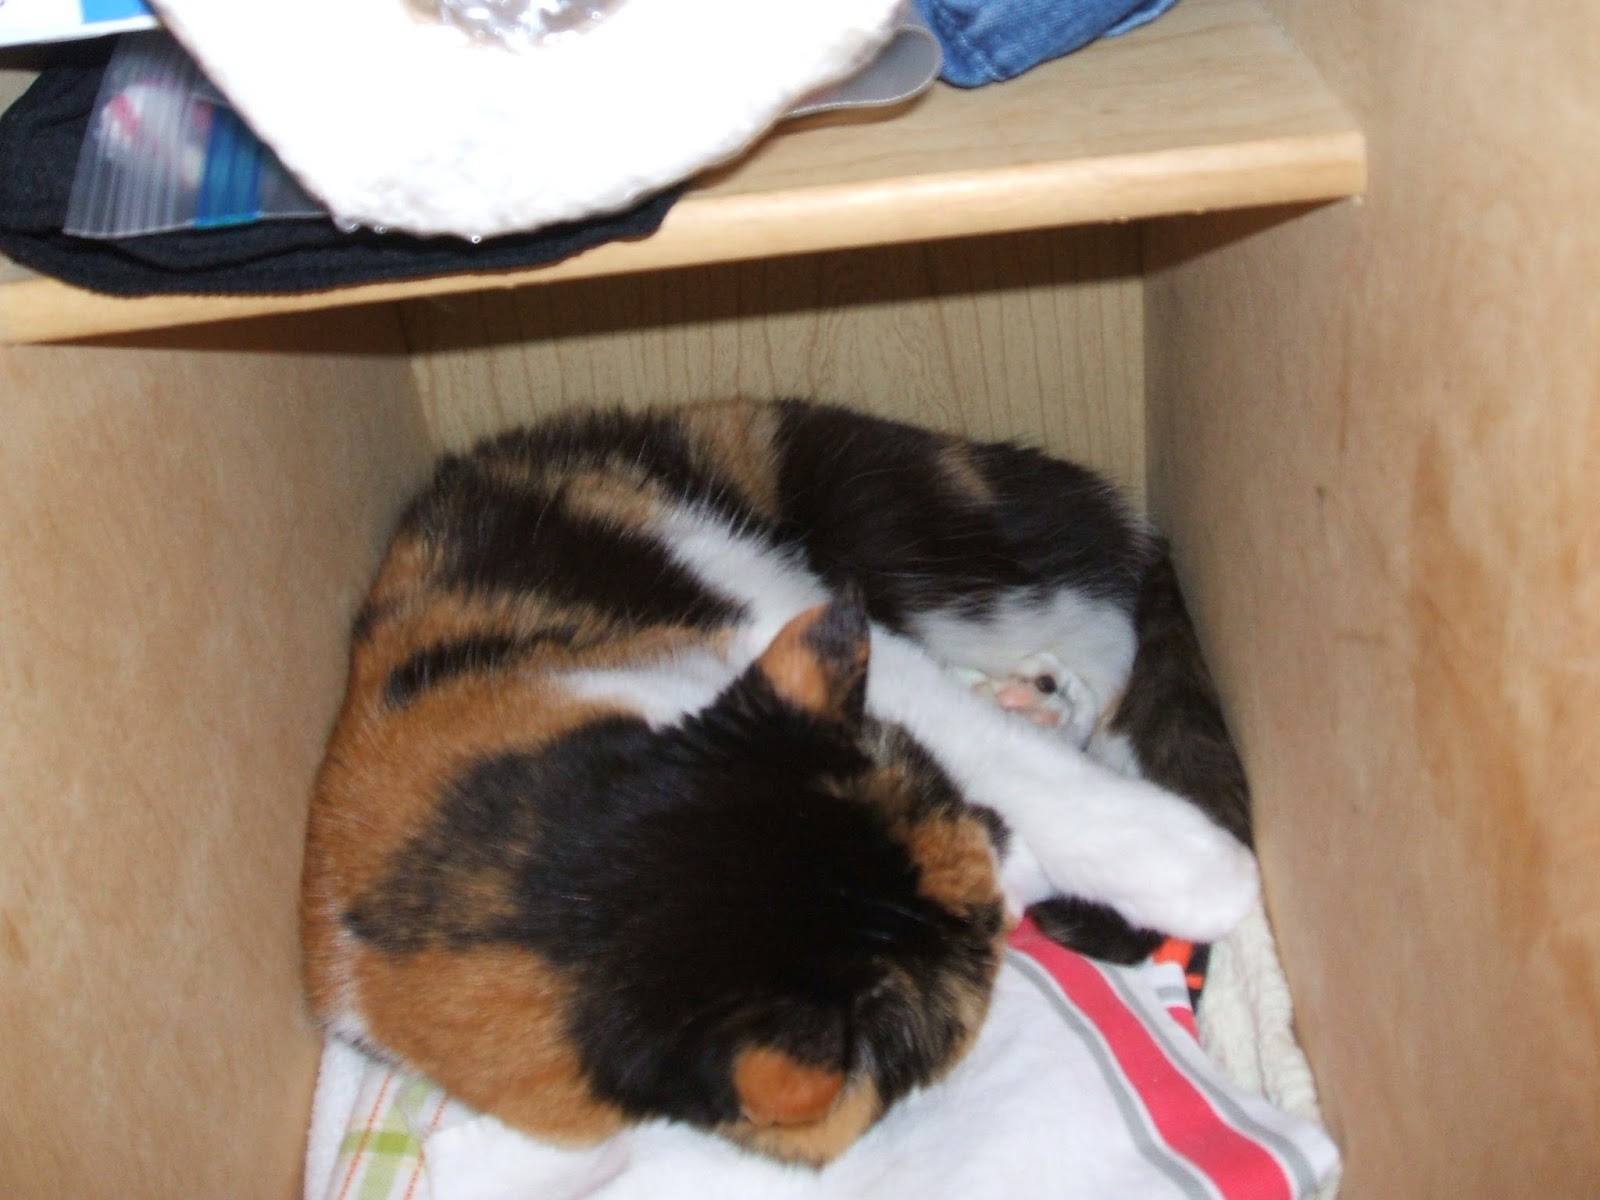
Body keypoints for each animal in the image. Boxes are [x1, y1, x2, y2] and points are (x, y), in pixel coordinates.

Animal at [300, 398, 1257, 1165]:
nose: (992, 852)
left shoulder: (762, 632)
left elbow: (995, 752)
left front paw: (1206, 875)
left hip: (906, 543)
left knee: (1108, 635)